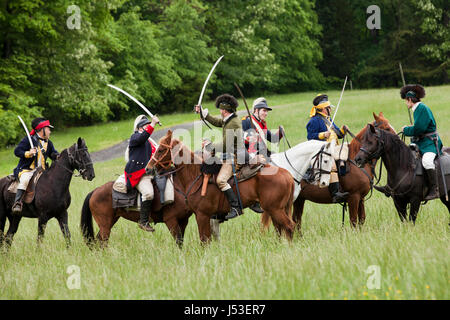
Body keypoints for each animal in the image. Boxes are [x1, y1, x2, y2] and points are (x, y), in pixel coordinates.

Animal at [148, 129, 296, 241]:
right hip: (276, 209)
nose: (149, 168)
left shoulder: (202, 215)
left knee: (289, 227)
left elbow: (204, 240)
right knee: (282, 229)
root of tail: (287, 175)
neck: (196, 176)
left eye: (161, 149)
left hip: (275, 209)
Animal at [262, 111, 396, 234]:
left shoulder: (361, 198)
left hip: (298, 200)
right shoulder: (354, 197)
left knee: (296, 220)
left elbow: (361, 219)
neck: (355, 161)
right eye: (386, 128)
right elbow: (353, 220)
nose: (396, 140)